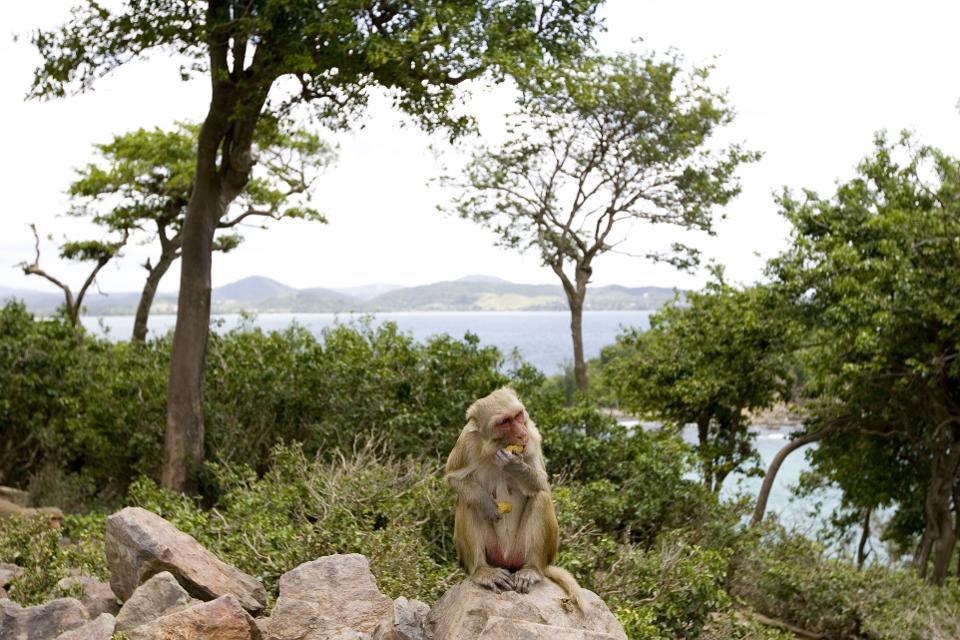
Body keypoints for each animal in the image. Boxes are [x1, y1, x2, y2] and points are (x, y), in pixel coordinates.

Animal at [445, 387, 584, 608]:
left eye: (518, 416)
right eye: (504, 422)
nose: (521, 434)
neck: (496, 445)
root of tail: (508, 560)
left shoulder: (533, 435)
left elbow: (541, 482)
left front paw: (513, 464)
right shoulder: (466, 441)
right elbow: (453, 478)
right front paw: (487, 504)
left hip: (524, 552)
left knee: (540, 498)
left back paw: (531, 570)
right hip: (493, 554)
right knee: (468, 502)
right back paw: (482, 570)